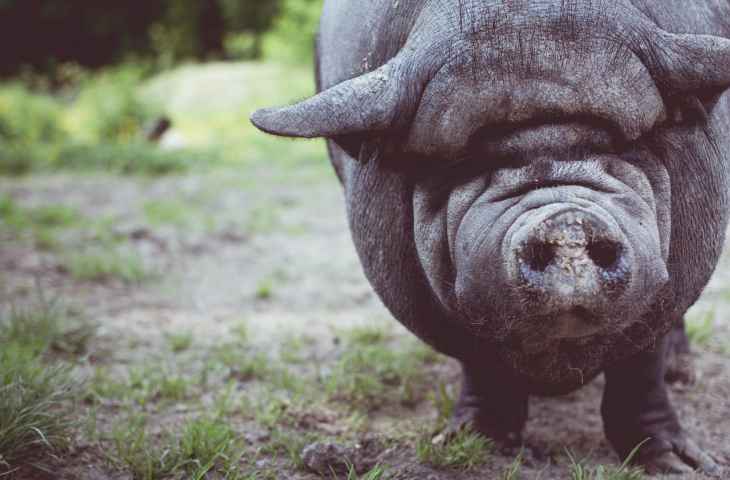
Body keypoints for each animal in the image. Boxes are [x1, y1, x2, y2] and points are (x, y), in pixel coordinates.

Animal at [252, 0, 728, 476]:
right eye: (464, 160)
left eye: (622, 143)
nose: (566, 221)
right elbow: (481, 363)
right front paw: (473, 444)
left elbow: (641, 365)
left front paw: (685, 466)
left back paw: (682, 375)